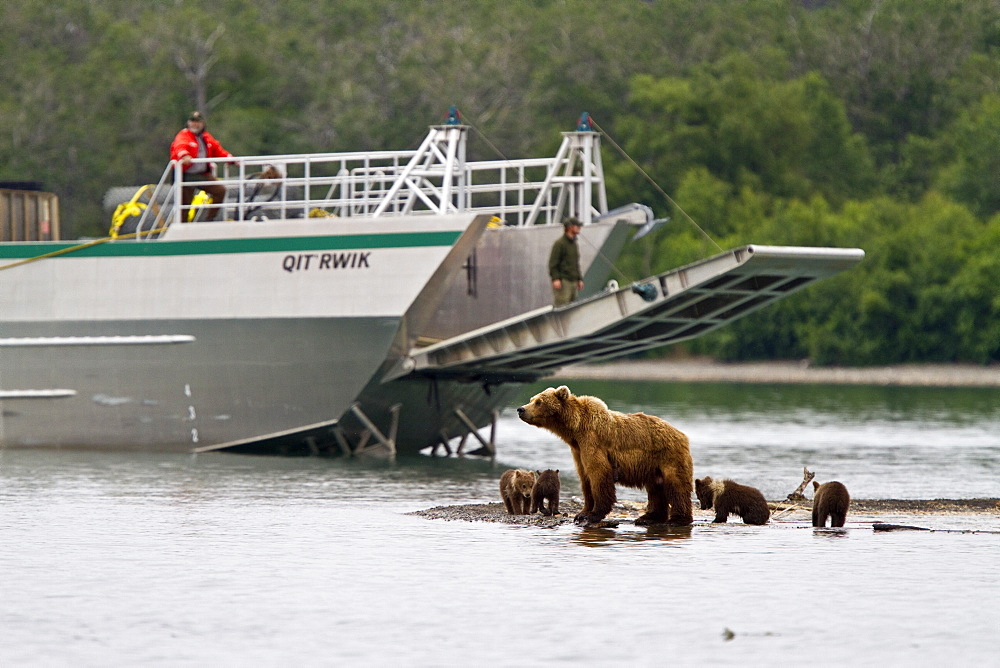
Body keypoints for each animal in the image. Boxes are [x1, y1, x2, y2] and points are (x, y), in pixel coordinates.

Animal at [520, 386, 692, 528]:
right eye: (532, 399)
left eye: (539, 402)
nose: (521, 409)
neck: (575, 429)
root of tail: (681, 434)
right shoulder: (578, 450)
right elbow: (585, 478)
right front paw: (582, 513)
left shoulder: (592, 441)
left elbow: (598, 473)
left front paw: (594, 514)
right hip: (652, 466)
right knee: (655, 488)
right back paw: (648, 517)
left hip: (668, 456)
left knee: (676, 485)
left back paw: (677, 519)